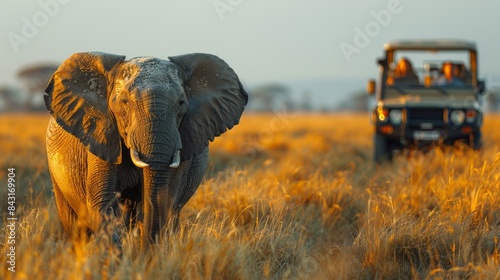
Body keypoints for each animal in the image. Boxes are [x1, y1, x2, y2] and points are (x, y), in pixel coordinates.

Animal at [44, 51, 247, 246]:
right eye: (124, 102)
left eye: (181, 103)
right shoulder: (103, 137)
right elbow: (102, 202)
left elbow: (165, 200)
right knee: (75, 226)